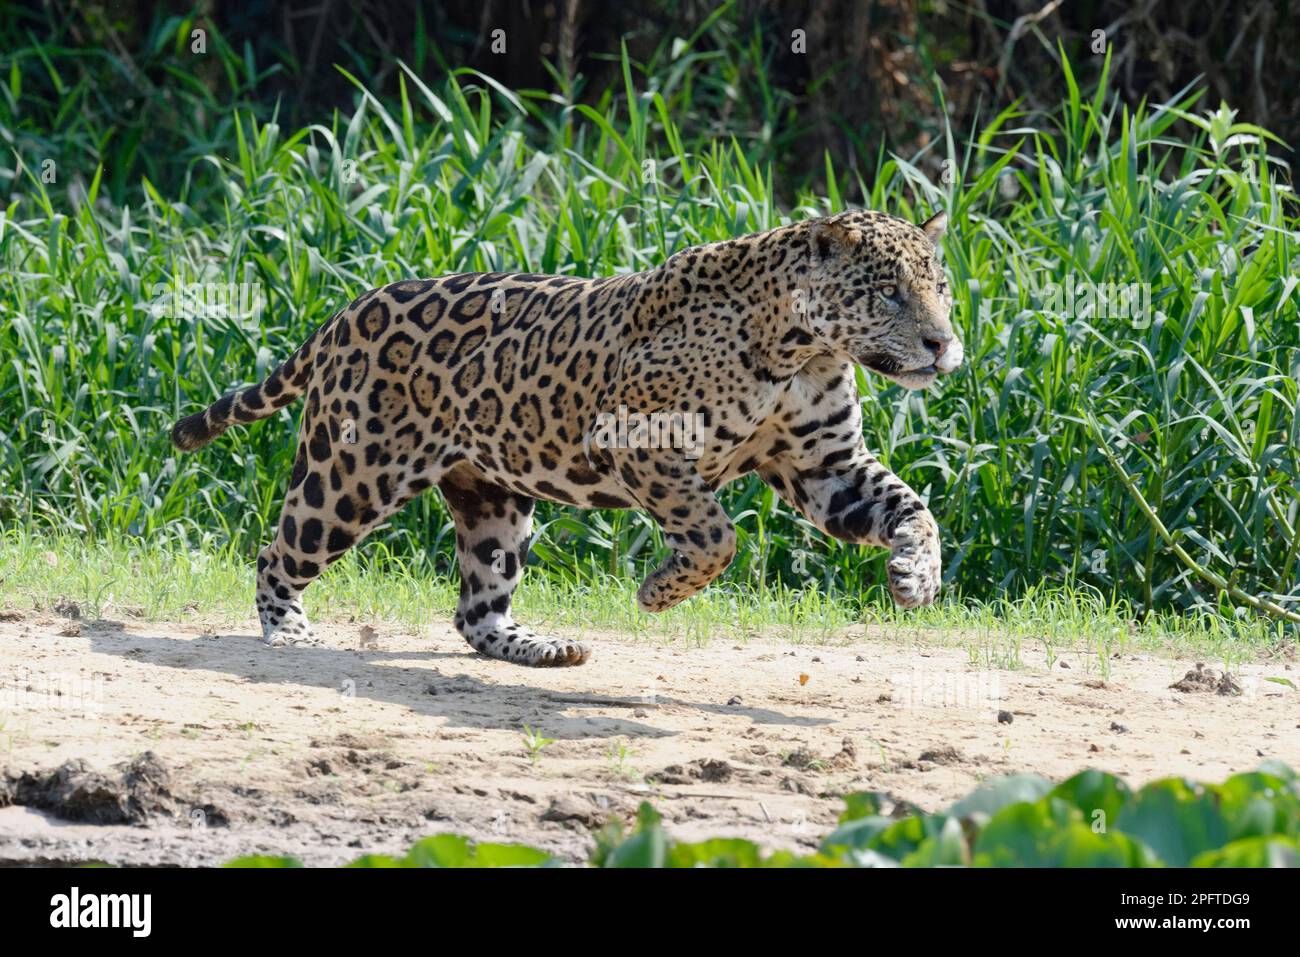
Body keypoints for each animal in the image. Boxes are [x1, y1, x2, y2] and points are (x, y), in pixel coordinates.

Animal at [171, 209, 962, 667]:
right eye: (886, 291)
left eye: (941, 287)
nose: (942, 343)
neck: (805, 348)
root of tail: (348, 309)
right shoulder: (642, 441)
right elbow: (716, 535)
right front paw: (658, 593)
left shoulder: (827, 465)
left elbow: (914, 508)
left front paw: (916, 578)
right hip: (349, 475)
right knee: (278, 551)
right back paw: (287, 629)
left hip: (492, 497)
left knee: (476, 604)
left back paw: (539, 648)